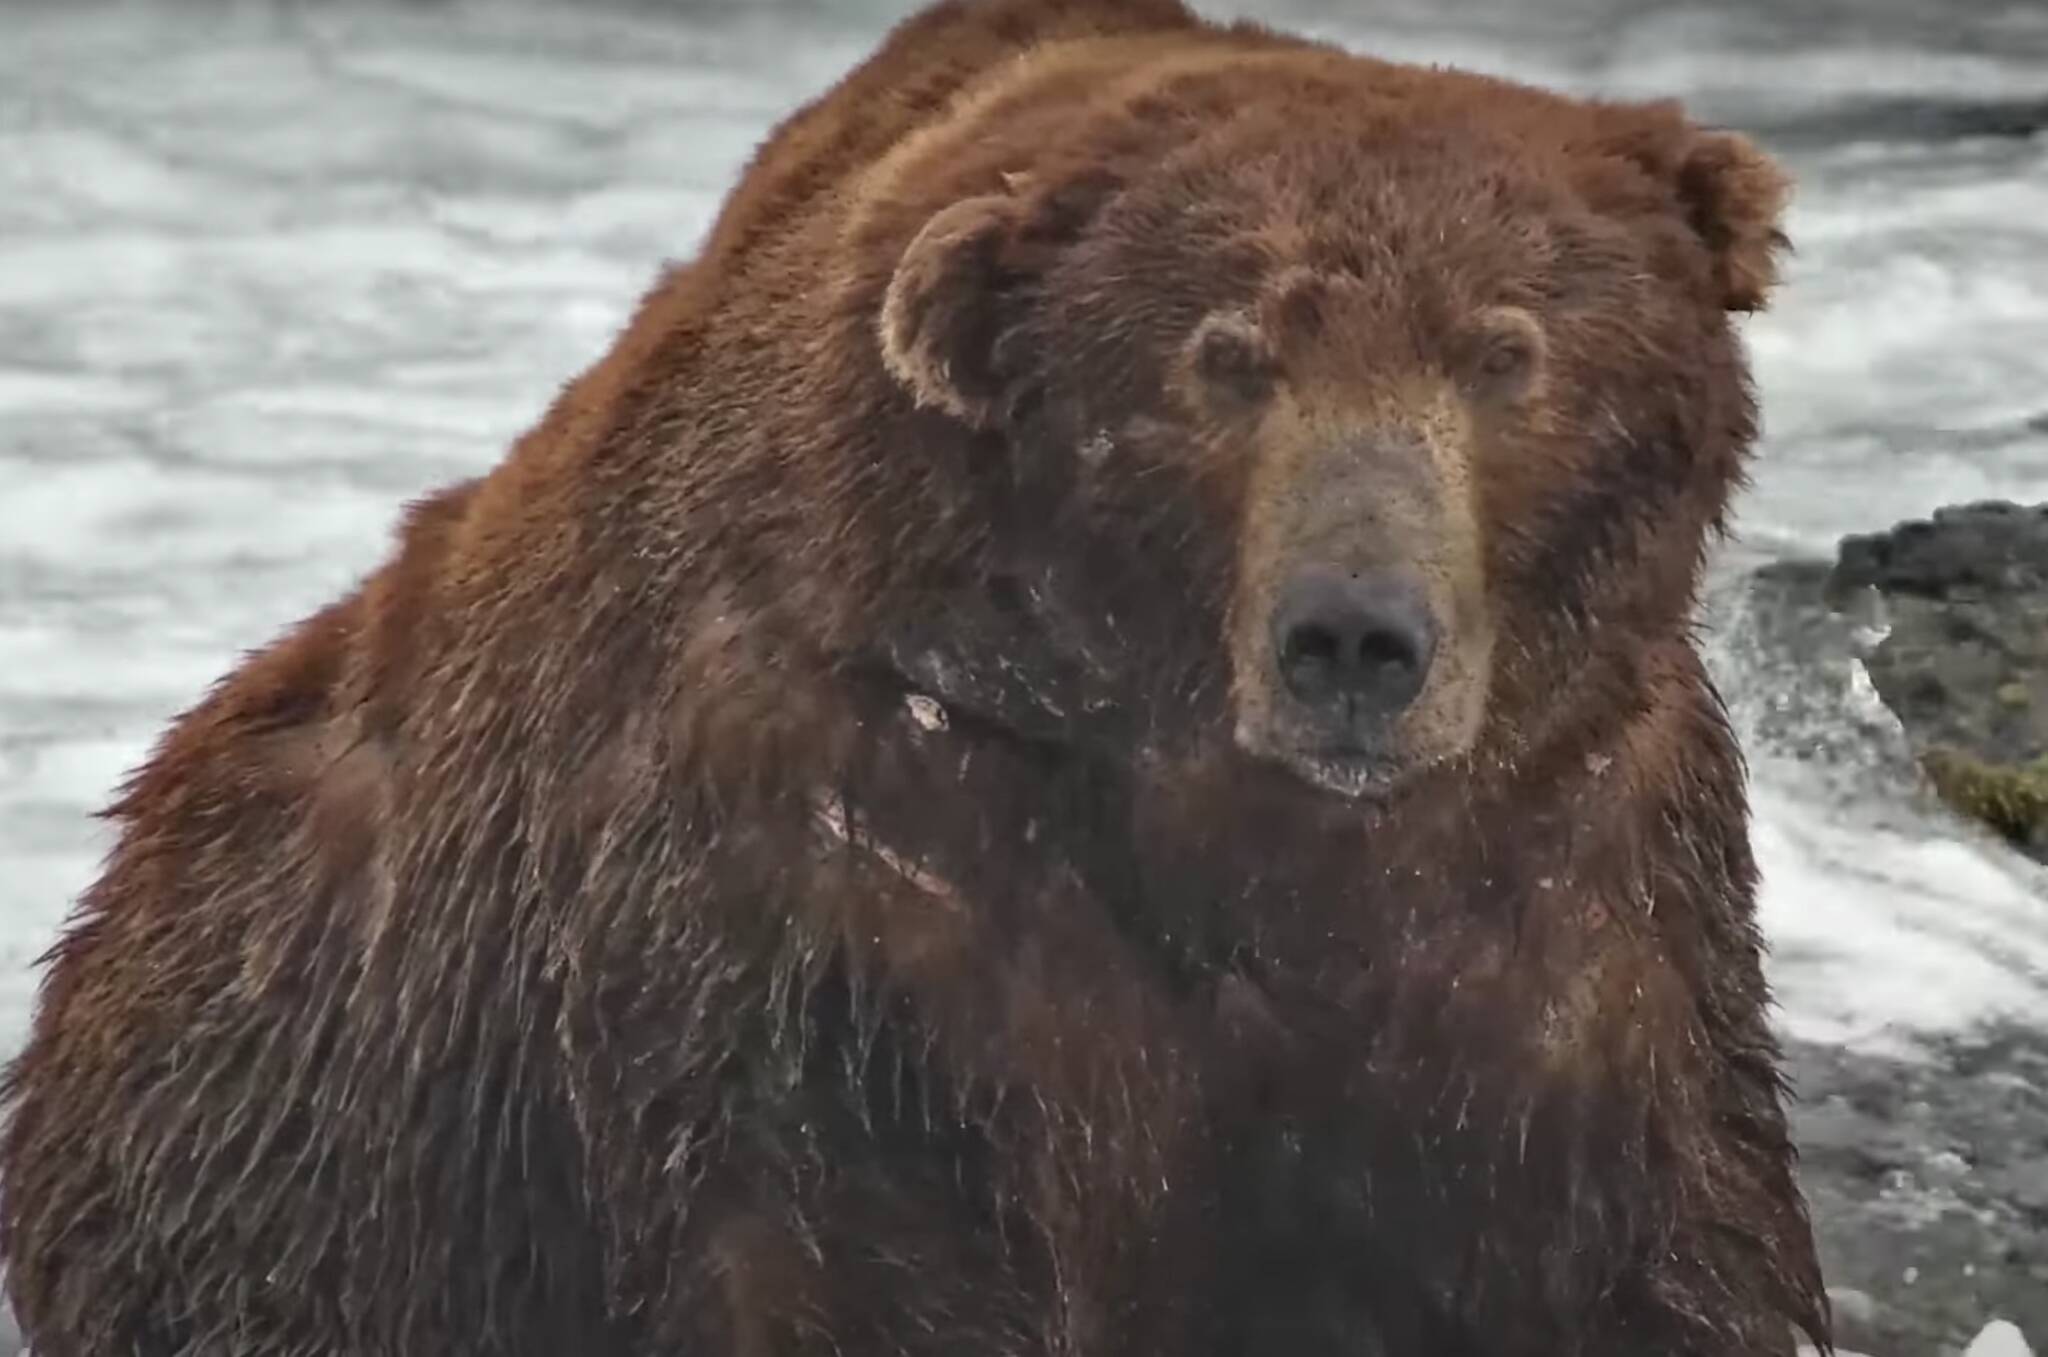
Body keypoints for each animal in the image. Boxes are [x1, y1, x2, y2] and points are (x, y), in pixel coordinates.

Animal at [0, 2, 1826, 1357]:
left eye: (1506, 349)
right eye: (1225, 356)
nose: (1355, 638)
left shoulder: (1578, 891)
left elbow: (1653, 1236)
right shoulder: (850, 900)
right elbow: (860, 1244)